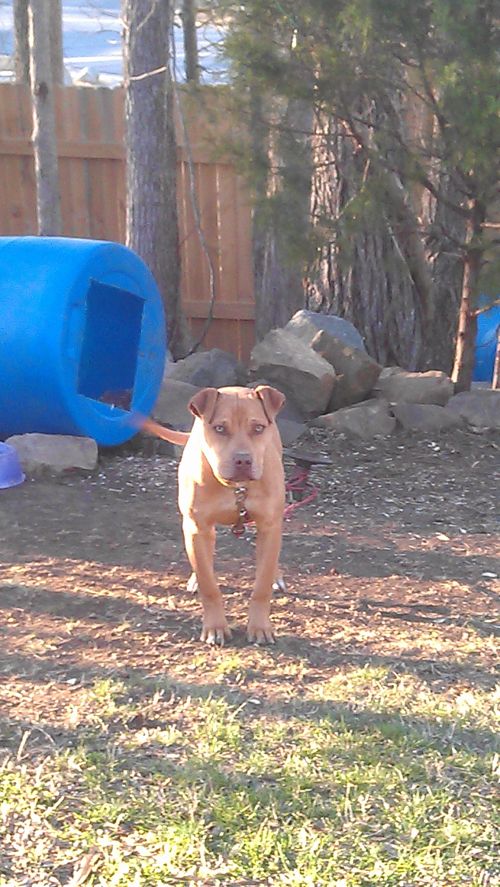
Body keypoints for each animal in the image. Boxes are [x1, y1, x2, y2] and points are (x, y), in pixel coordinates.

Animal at [142, 385, 286, 645]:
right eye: (220, 428)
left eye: (258, 428)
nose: (243, 460)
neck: (236, 488)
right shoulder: (197, 528)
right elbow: (209, 585)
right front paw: (215, 626)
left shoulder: (269, 526)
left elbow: (261, 586)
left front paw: (260, 626)